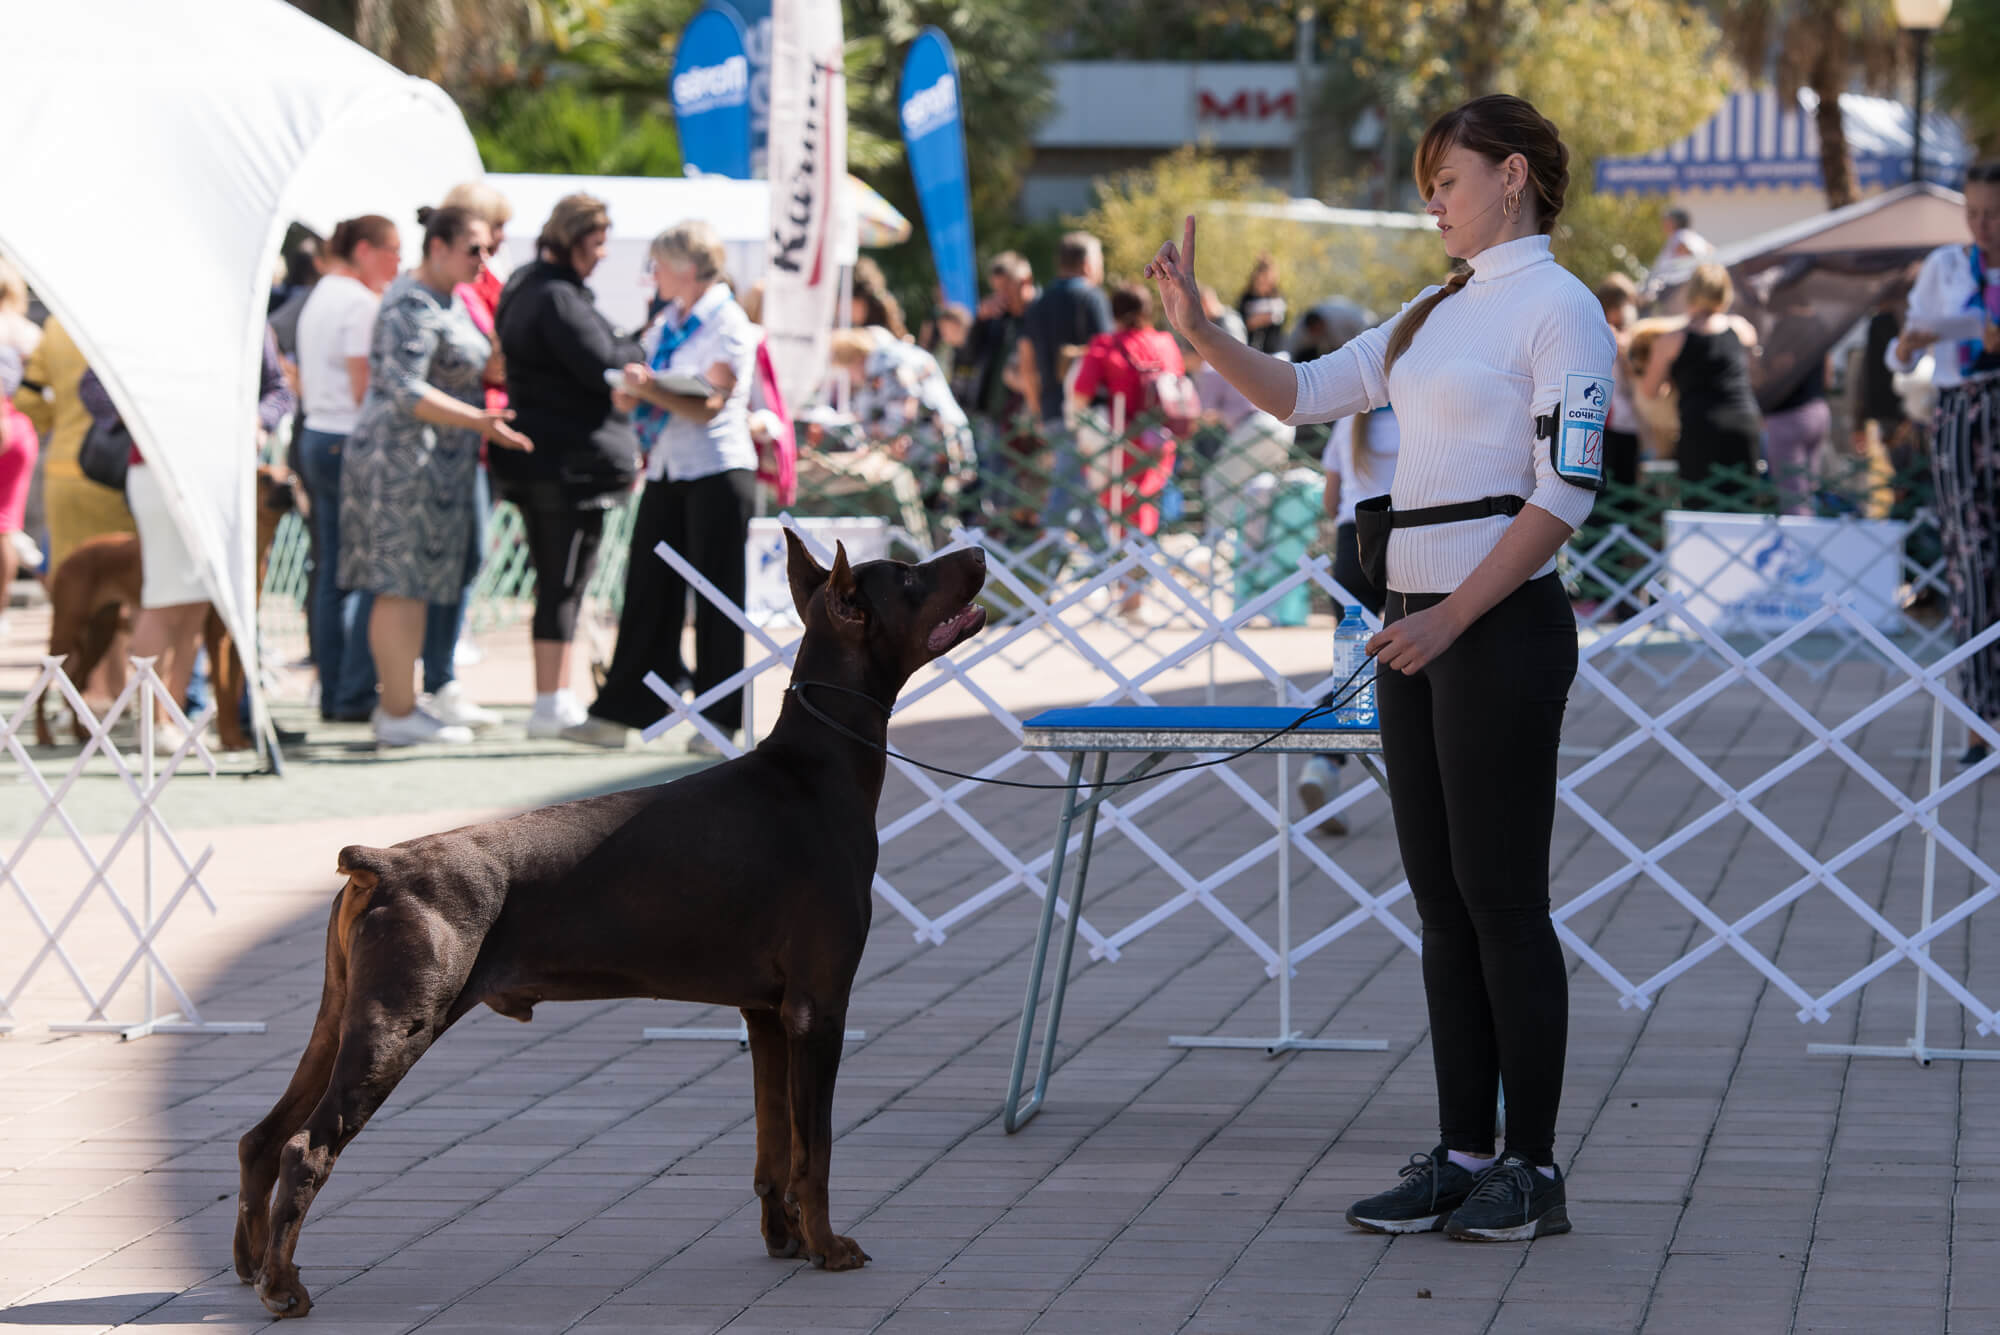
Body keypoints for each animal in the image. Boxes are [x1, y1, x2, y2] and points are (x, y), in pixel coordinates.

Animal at [238, 527, 988, 1311]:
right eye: (908, 577)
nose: (978, 552)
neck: (819, 770)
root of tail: (379, 861)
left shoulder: (766, 1015)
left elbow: (773, 1147)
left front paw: (782, 1237)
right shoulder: (819, 1008)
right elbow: (816, 1148)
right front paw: (827, 1245)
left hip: (340, 1017)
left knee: (261, 1137)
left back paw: (251, 1263)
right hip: (396, 1026)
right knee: (306, 1147)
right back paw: (282, 1285)